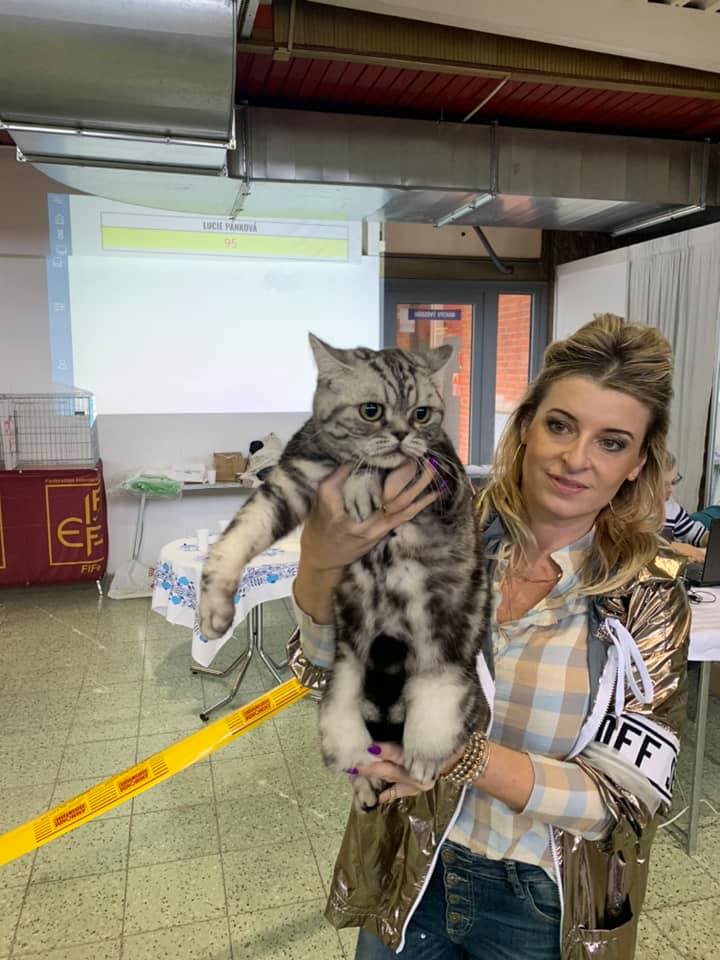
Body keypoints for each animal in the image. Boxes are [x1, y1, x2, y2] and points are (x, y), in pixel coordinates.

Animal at [198, 334, 491, 810]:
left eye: (421, 414)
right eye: (371, 411)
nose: (402, 434)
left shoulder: (443, 476)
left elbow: (393, 465)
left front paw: (362, 483)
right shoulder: (289, 483)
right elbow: (239, 533)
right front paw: (212, 609)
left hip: (446, 685)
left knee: (432, 739)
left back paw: (421, 761)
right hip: (336, 714)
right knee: (361, 760)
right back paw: (368, 788)